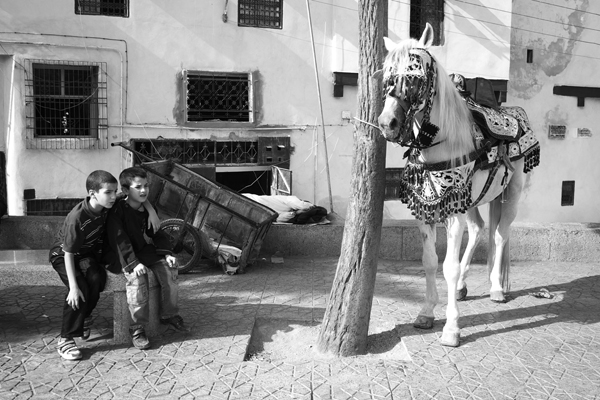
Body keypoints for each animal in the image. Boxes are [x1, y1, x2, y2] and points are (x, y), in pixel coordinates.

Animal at [378, 24, 540, 346]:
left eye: (414, 77)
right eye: (388, 77)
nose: (387, 123)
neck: (443, 142)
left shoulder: (453, 213)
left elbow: (448, 267)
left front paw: (451, 327)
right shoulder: (426, 209)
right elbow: (429, 261)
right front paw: (426, 312)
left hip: (511, 193)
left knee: (500, 236)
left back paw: (496, 288)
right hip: (471, 200)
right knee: (478, 229)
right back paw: (465, 286)